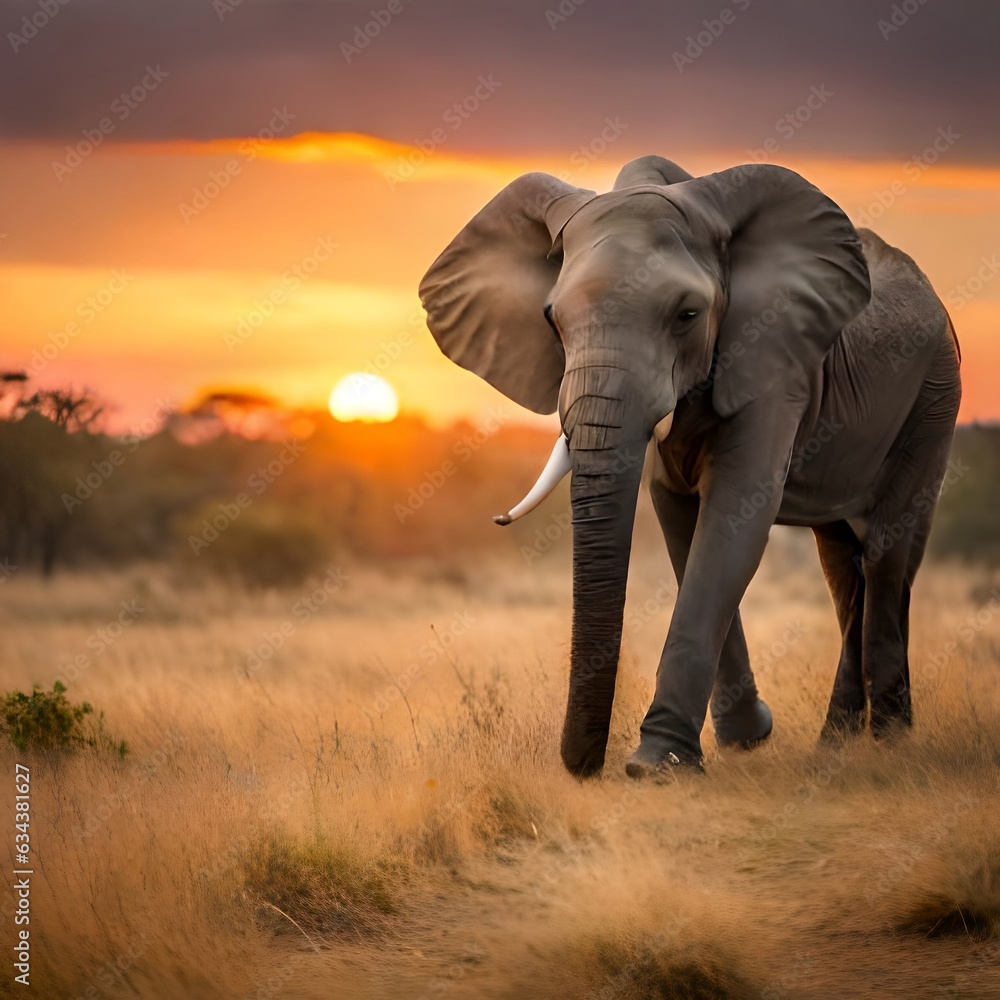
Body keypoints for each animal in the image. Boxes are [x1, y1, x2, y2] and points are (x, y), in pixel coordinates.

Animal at [419, 155, 962, 779]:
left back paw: (891, 741)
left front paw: (658, 764)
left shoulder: (774, 363)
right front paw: (741, 740)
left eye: (687, 314)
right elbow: (677, 514)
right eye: (552, 320)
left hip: (933, 396)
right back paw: (836, 743)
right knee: (842, 565)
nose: (585, 769)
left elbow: (732, 518)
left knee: (886, 553)